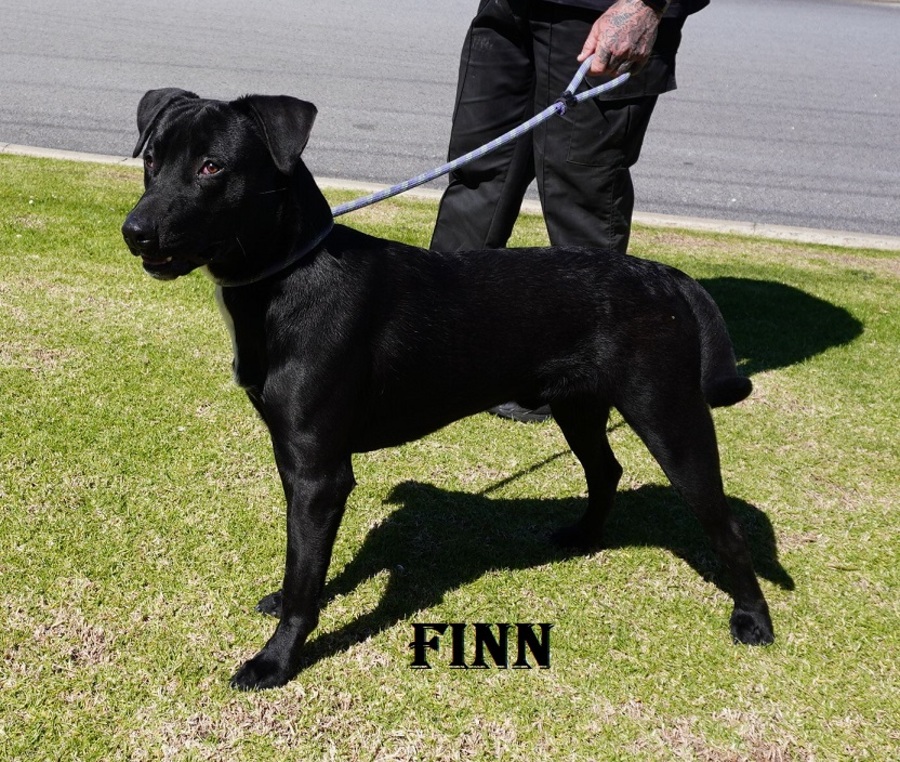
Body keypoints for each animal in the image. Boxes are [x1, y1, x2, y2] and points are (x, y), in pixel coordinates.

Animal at [121, 89, 774, 690]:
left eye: (213, 167)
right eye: (152, 158)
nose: (136, 232)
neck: (287, 276)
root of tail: (665, 275)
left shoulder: (318, 471)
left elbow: (304, 574)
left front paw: (276, 659)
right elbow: (301, 565)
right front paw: (283, 606)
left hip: (669, 416)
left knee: (723, 525)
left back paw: (753, 619)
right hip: (578, 403)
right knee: (605, 469)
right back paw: (582, 538)